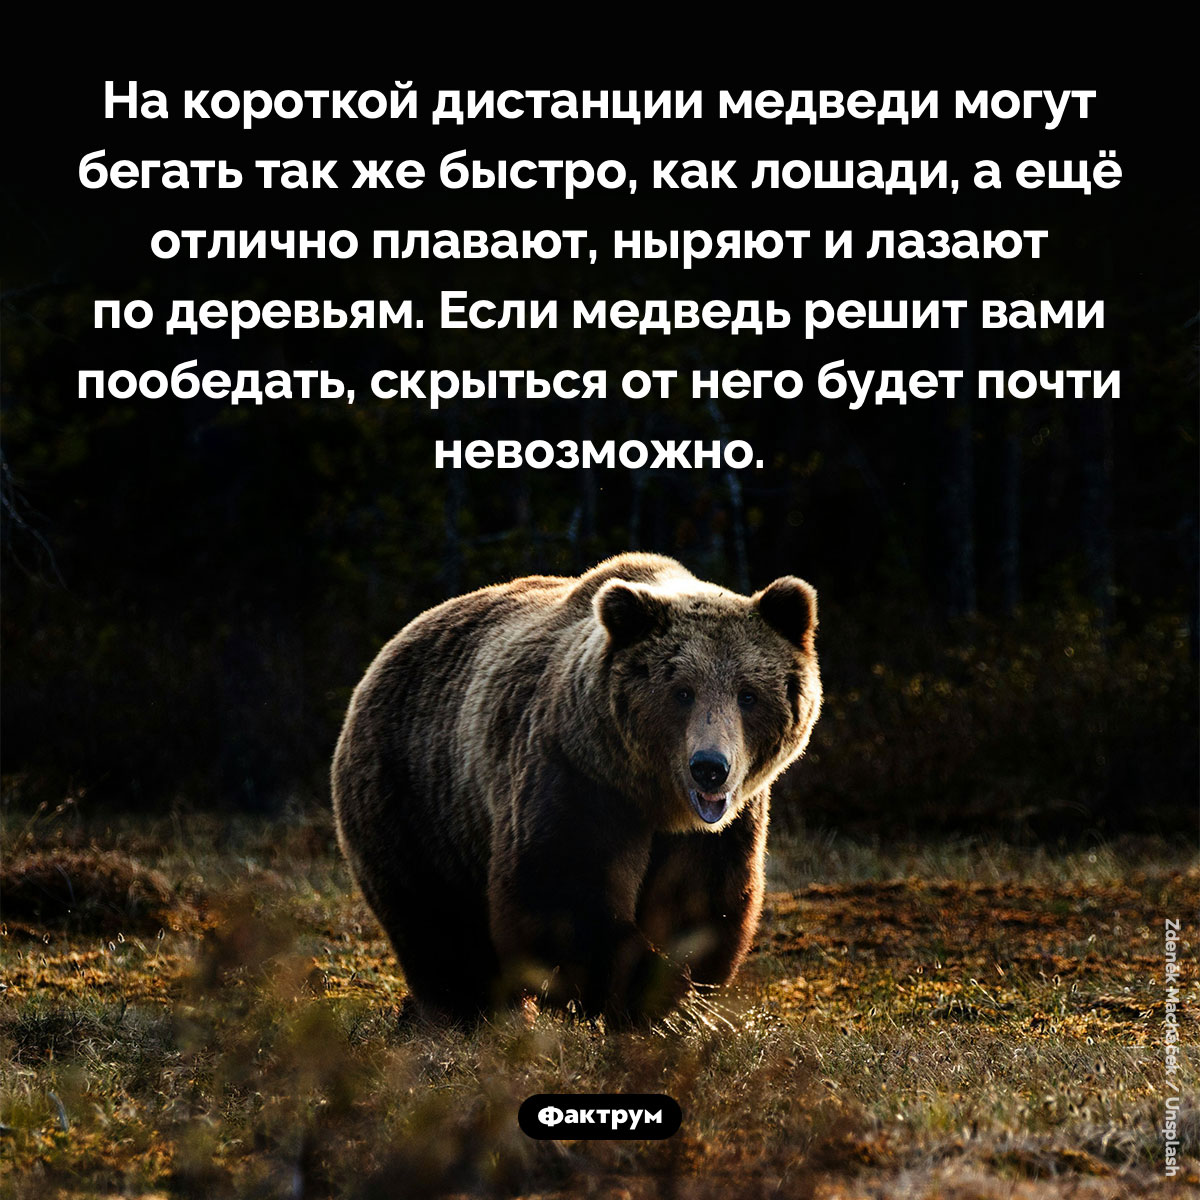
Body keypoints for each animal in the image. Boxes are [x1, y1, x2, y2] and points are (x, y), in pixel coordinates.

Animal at [331, 553, 821, 1024]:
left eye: (748, 694)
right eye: (682, 692)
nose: (710, 768)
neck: (655, 799)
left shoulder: (722, 828)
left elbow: (702, 904)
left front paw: (681, 1000)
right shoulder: (577, 776)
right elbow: (560, 895)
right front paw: (646, 995)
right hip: (416, 796)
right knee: (436, 922)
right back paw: (467, 1012)